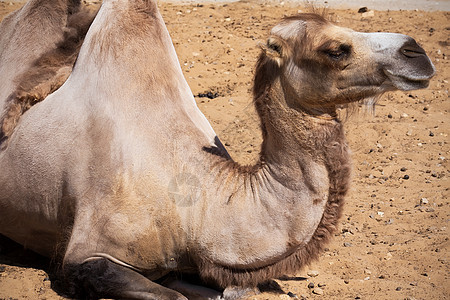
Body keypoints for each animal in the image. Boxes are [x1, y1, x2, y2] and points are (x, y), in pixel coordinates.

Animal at [0, 0, 436, 298]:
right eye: (335, 49)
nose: (417, 51)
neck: (198, 207)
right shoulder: (85, 254)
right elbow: (170, 295)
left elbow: (231, 290)